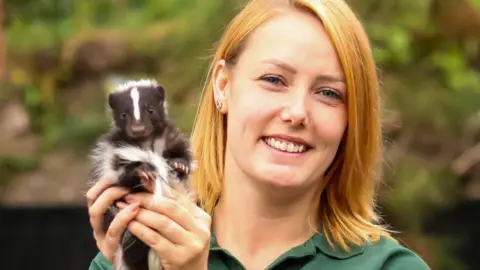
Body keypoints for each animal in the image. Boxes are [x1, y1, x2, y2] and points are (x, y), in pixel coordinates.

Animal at [88, 79, 195, 270]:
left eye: (150, 110)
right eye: (124, 114)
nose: (138, 128)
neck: (146, 142)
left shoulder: (170, 136)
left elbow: (181, 150)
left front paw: (180, 164)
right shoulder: (114, 152)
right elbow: (122, 174)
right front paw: (143, 170)